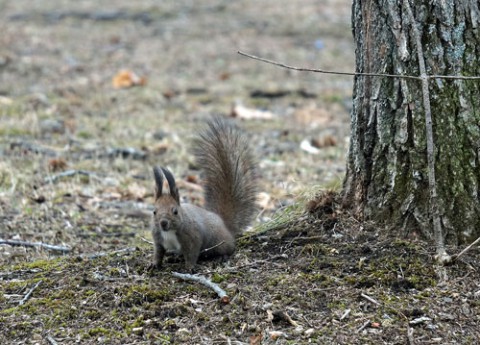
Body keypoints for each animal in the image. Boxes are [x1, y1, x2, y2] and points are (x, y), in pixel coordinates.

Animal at [151, 118, 256, 272]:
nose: (163, 223)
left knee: (229, 248)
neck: (169, 232)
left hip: (219, 241)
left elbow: (192, 254)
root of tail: (224, 224)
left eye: (175, 211)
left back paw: (221, 257)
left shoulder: (192, 237)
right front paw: (154, 264)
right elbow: (158, 253)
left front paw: (189, 267)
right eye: (154, 212)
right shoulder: (158, 239)